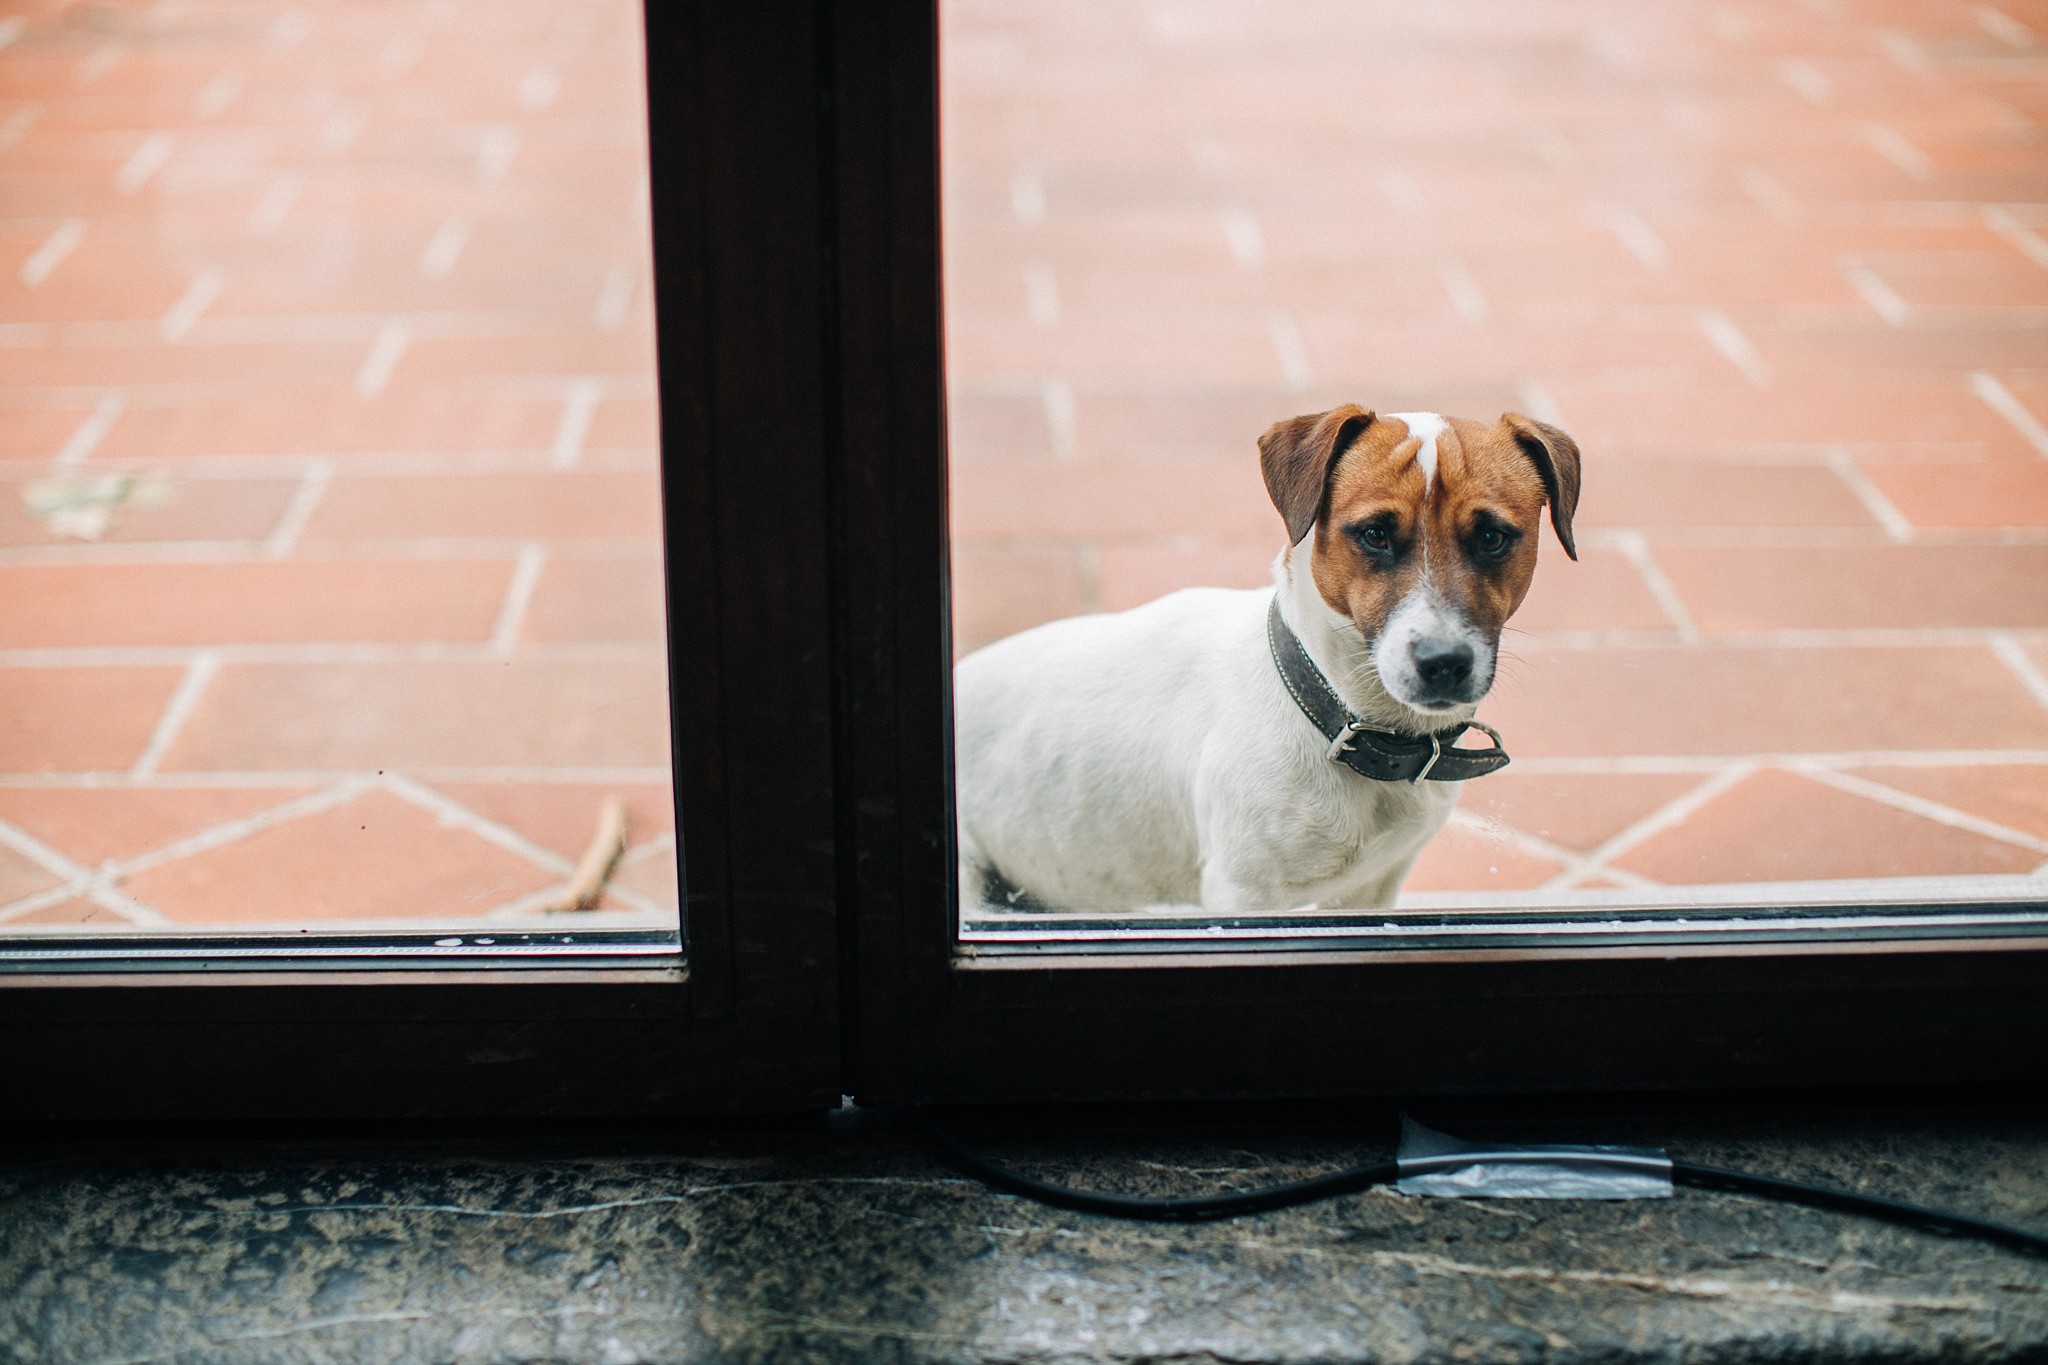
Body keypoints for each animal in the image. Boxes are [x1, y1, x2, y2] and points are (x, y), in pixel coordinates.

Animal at [958, 405, 1581, 916]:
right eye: (1374, 534)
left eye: (1493, 537)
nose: (1443, 661)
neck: (1343, 719)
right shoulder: (1244, 893)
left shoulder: (1367, 893)